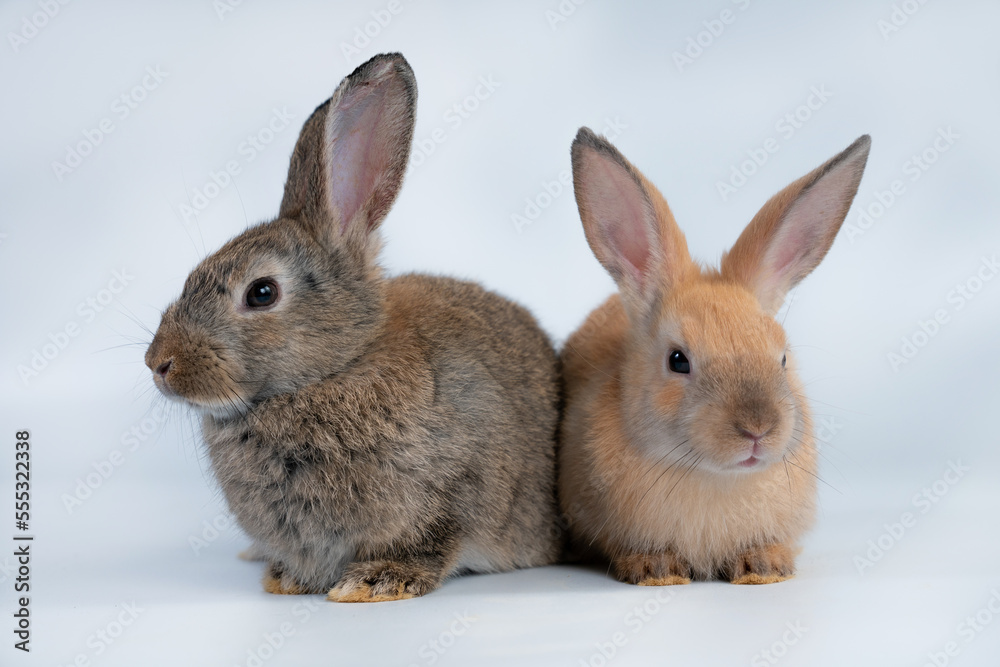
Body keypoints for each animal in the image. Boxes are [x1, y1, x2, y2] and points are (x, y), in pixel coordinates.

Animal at [143, 54, 564, 604]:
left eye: (262, 293)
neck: (339, 368)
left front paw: (375, 581)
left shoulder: (460, 489)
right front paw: (289, 579)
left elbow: (434, 541)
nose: (158, 363)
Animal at [560, 128, 872, 588]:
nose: (757, 429)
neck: (717, 477)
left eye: (782, 357)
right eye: (678, 360)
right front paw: (656, 571)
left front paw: (764, 567)